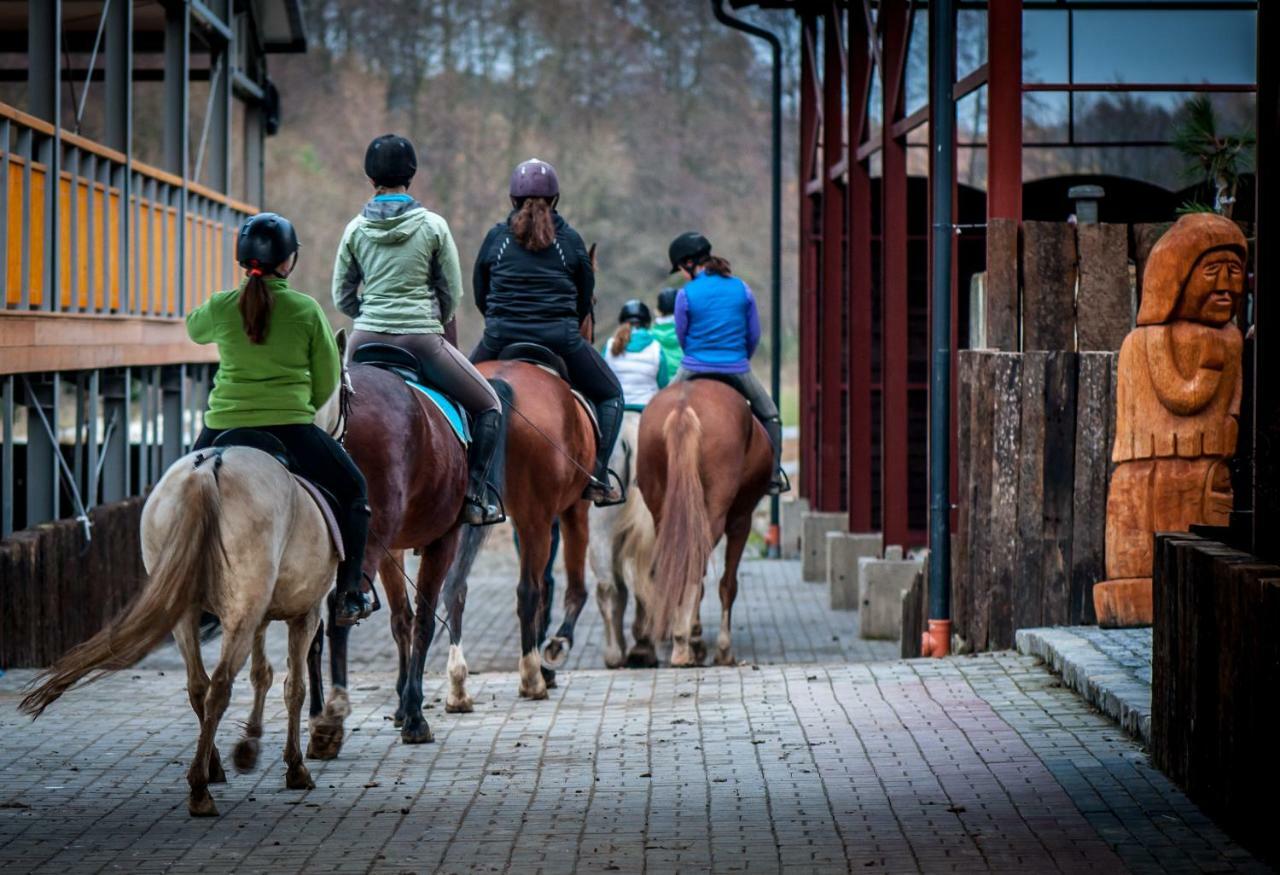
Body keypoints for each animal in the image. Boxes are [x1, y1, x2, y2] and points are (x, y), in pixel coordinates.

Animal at [22, 332, 350, 813]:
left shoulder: (261, 613)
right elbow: (294, 686)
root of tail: (210, 466)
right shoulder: (304, 613)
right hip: (241, 611)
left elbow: (262, 674)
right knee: (218, 686)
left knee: (199, 685)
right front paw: (292, 767)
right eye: (347, 390)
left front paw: (250, 744)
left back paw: (210, 768)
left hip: (187, 610)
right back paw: (200, 788)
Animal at [305, 363, 481, 752]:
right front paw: (413, 715)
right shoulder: (443, 540)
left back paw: (317, 717)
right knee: (340, 608)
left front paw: (402, 706)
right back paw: (332, 721)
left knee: (313, 624)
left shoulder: (393, 548)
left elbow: (402, 619)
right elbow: (424, 621)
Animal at [637, 378, 768, 665]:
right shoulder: (742, 520)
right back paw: (683, 644)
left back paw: (681, 640)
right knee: (695, 565)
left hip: (662, 513)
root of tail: (683, 406)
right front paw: (722, 649)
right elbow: (727, 585)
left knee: (676, 565)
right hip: (715, 514)